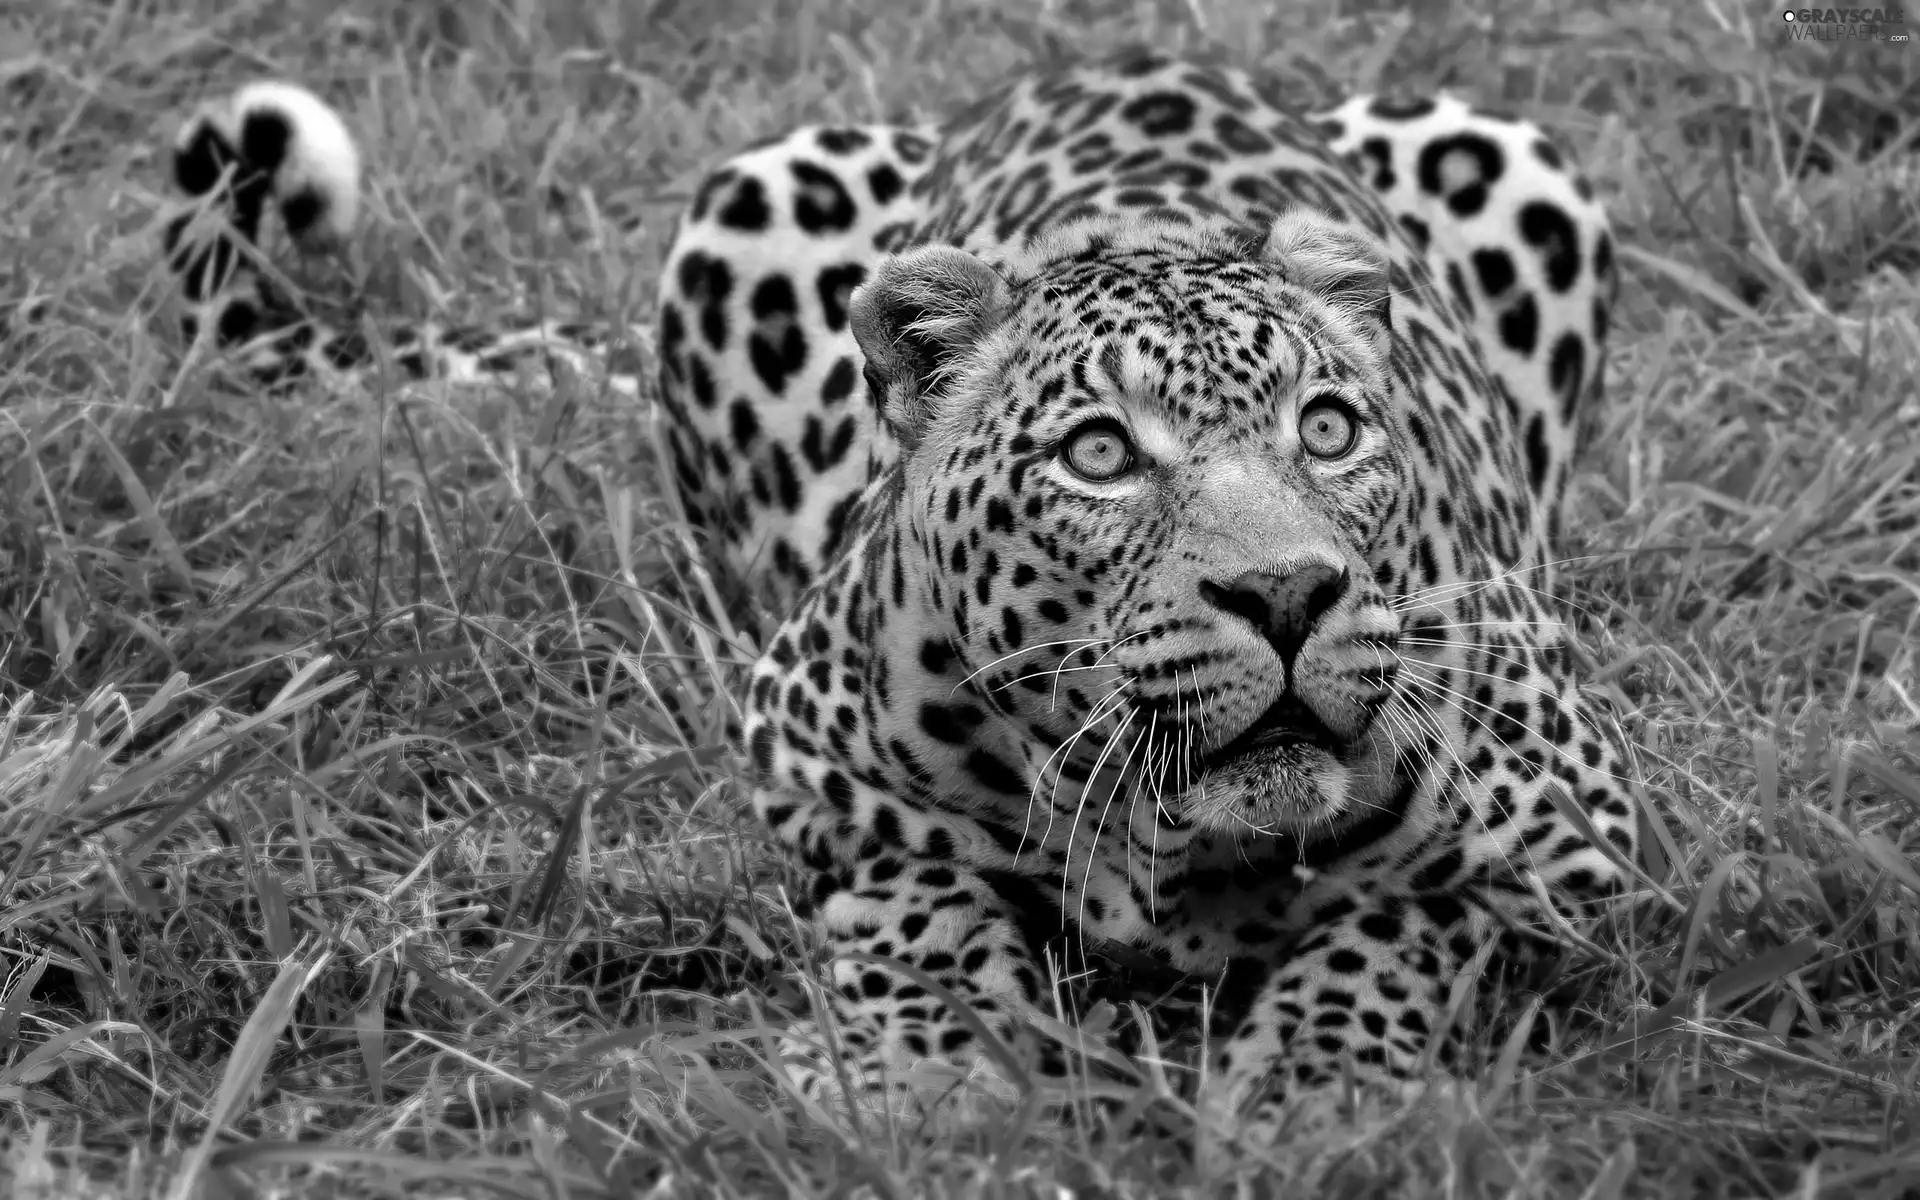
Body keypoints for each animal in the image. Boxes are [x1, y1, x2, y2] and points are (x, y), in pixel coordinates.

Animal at [165, 49, 1635, 1144]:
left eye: (1328, 432)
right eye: (1099, 453)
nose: (1286, 594)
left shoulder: (1573, 833)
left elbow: (1394, 927)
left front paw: (1313, 1088)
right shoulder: (810, 764)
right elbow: (914, 902)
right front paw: (918, 1081)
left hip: (1512, 153)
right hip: (747, 201)